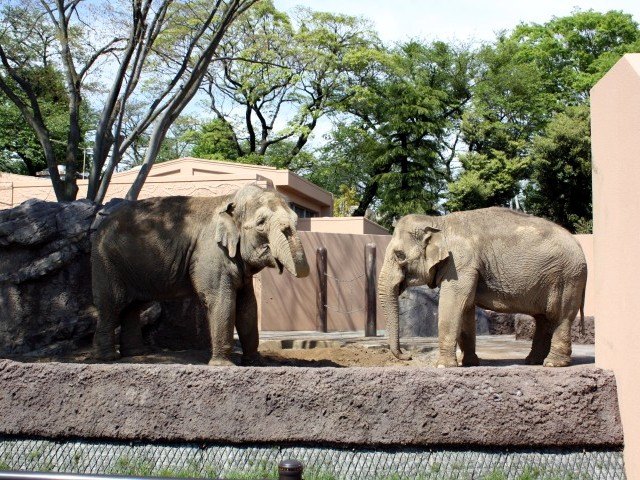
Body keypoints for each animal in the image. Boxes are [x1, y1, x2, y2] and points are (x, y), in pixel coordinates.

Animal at [90, 186, 310, 366]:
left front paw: (255, 363)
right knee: (113, 303)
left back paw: (135, 354)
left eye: (296, 219)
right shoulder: (211, 252)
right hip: (106, 259)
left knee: (133, 306)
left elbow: (247, 305)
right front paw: (223, 366)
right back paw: (109, 358)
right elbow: (221, 299)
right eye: (261, 223)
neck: (229, 200)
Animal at [378, 208, 588, 370]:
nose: (408, 355)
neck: (438, 222)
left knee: (560, 316)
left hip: (567, 278)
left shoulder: (461, 264)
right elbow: (466, 308)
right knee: (543, 319)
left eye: (399, 255)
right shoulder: (466, 268)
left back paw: (552, 364)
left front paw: (443, 366)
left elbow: (453, 304)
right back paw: (533, 361)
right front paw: (469, 363)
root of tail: (579, 245)